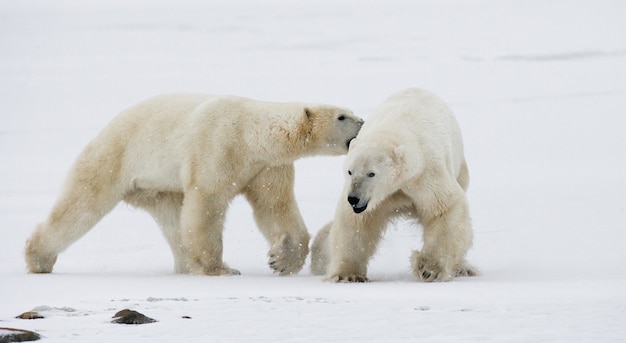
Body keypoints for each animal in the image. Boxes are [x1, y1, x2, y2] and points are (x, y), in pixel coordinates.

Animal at [26, 93, 364, 276]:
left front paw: (281, 259)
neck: (250, 133)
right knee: (82, 204)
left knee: (173, 221)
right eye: (342, 116)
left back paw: (186, 265)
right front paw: (220, 268)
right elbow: (207, 203)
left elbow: (274, 207)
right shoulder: (217, 146)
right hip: (117, 156)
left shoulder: (266, 167)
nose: (363, 123)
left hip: (158, 188)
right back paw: (38, 258)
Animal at [310, 88, 476, 282]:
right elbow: (356, 222)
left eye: (371, 173)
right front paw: (347, 275)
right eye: (350, 171)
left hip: (460, 169)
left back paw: (462, 267)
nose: (354, 198)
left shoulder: (425, 173)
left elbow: (444, 208)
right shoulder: (377, 198)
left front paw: (429, 268)